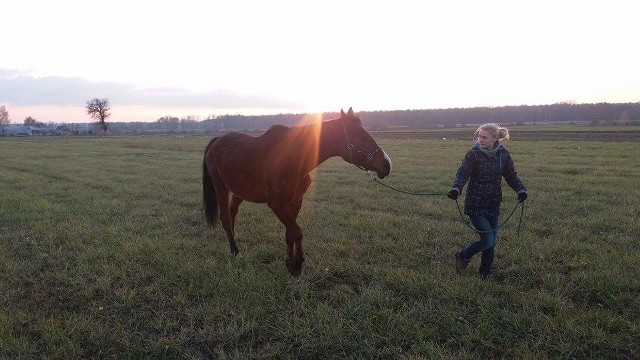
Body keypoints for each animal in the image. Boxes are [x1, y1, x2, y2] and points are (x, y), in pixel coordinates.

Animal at [202, 107, 392, 276]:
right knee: (225, 217)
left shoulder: (295, 201)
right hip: (220, 186)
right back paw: (234, 250)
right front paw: (297, 263)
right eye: (363, 137)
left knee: (232, 213)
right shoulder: (277, 204)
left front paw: (289, 262)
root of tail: (217, 141)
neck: (294, 157)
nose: (387, 164)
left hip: (241, 191)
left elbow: (290, 233)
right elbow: (297, 232)